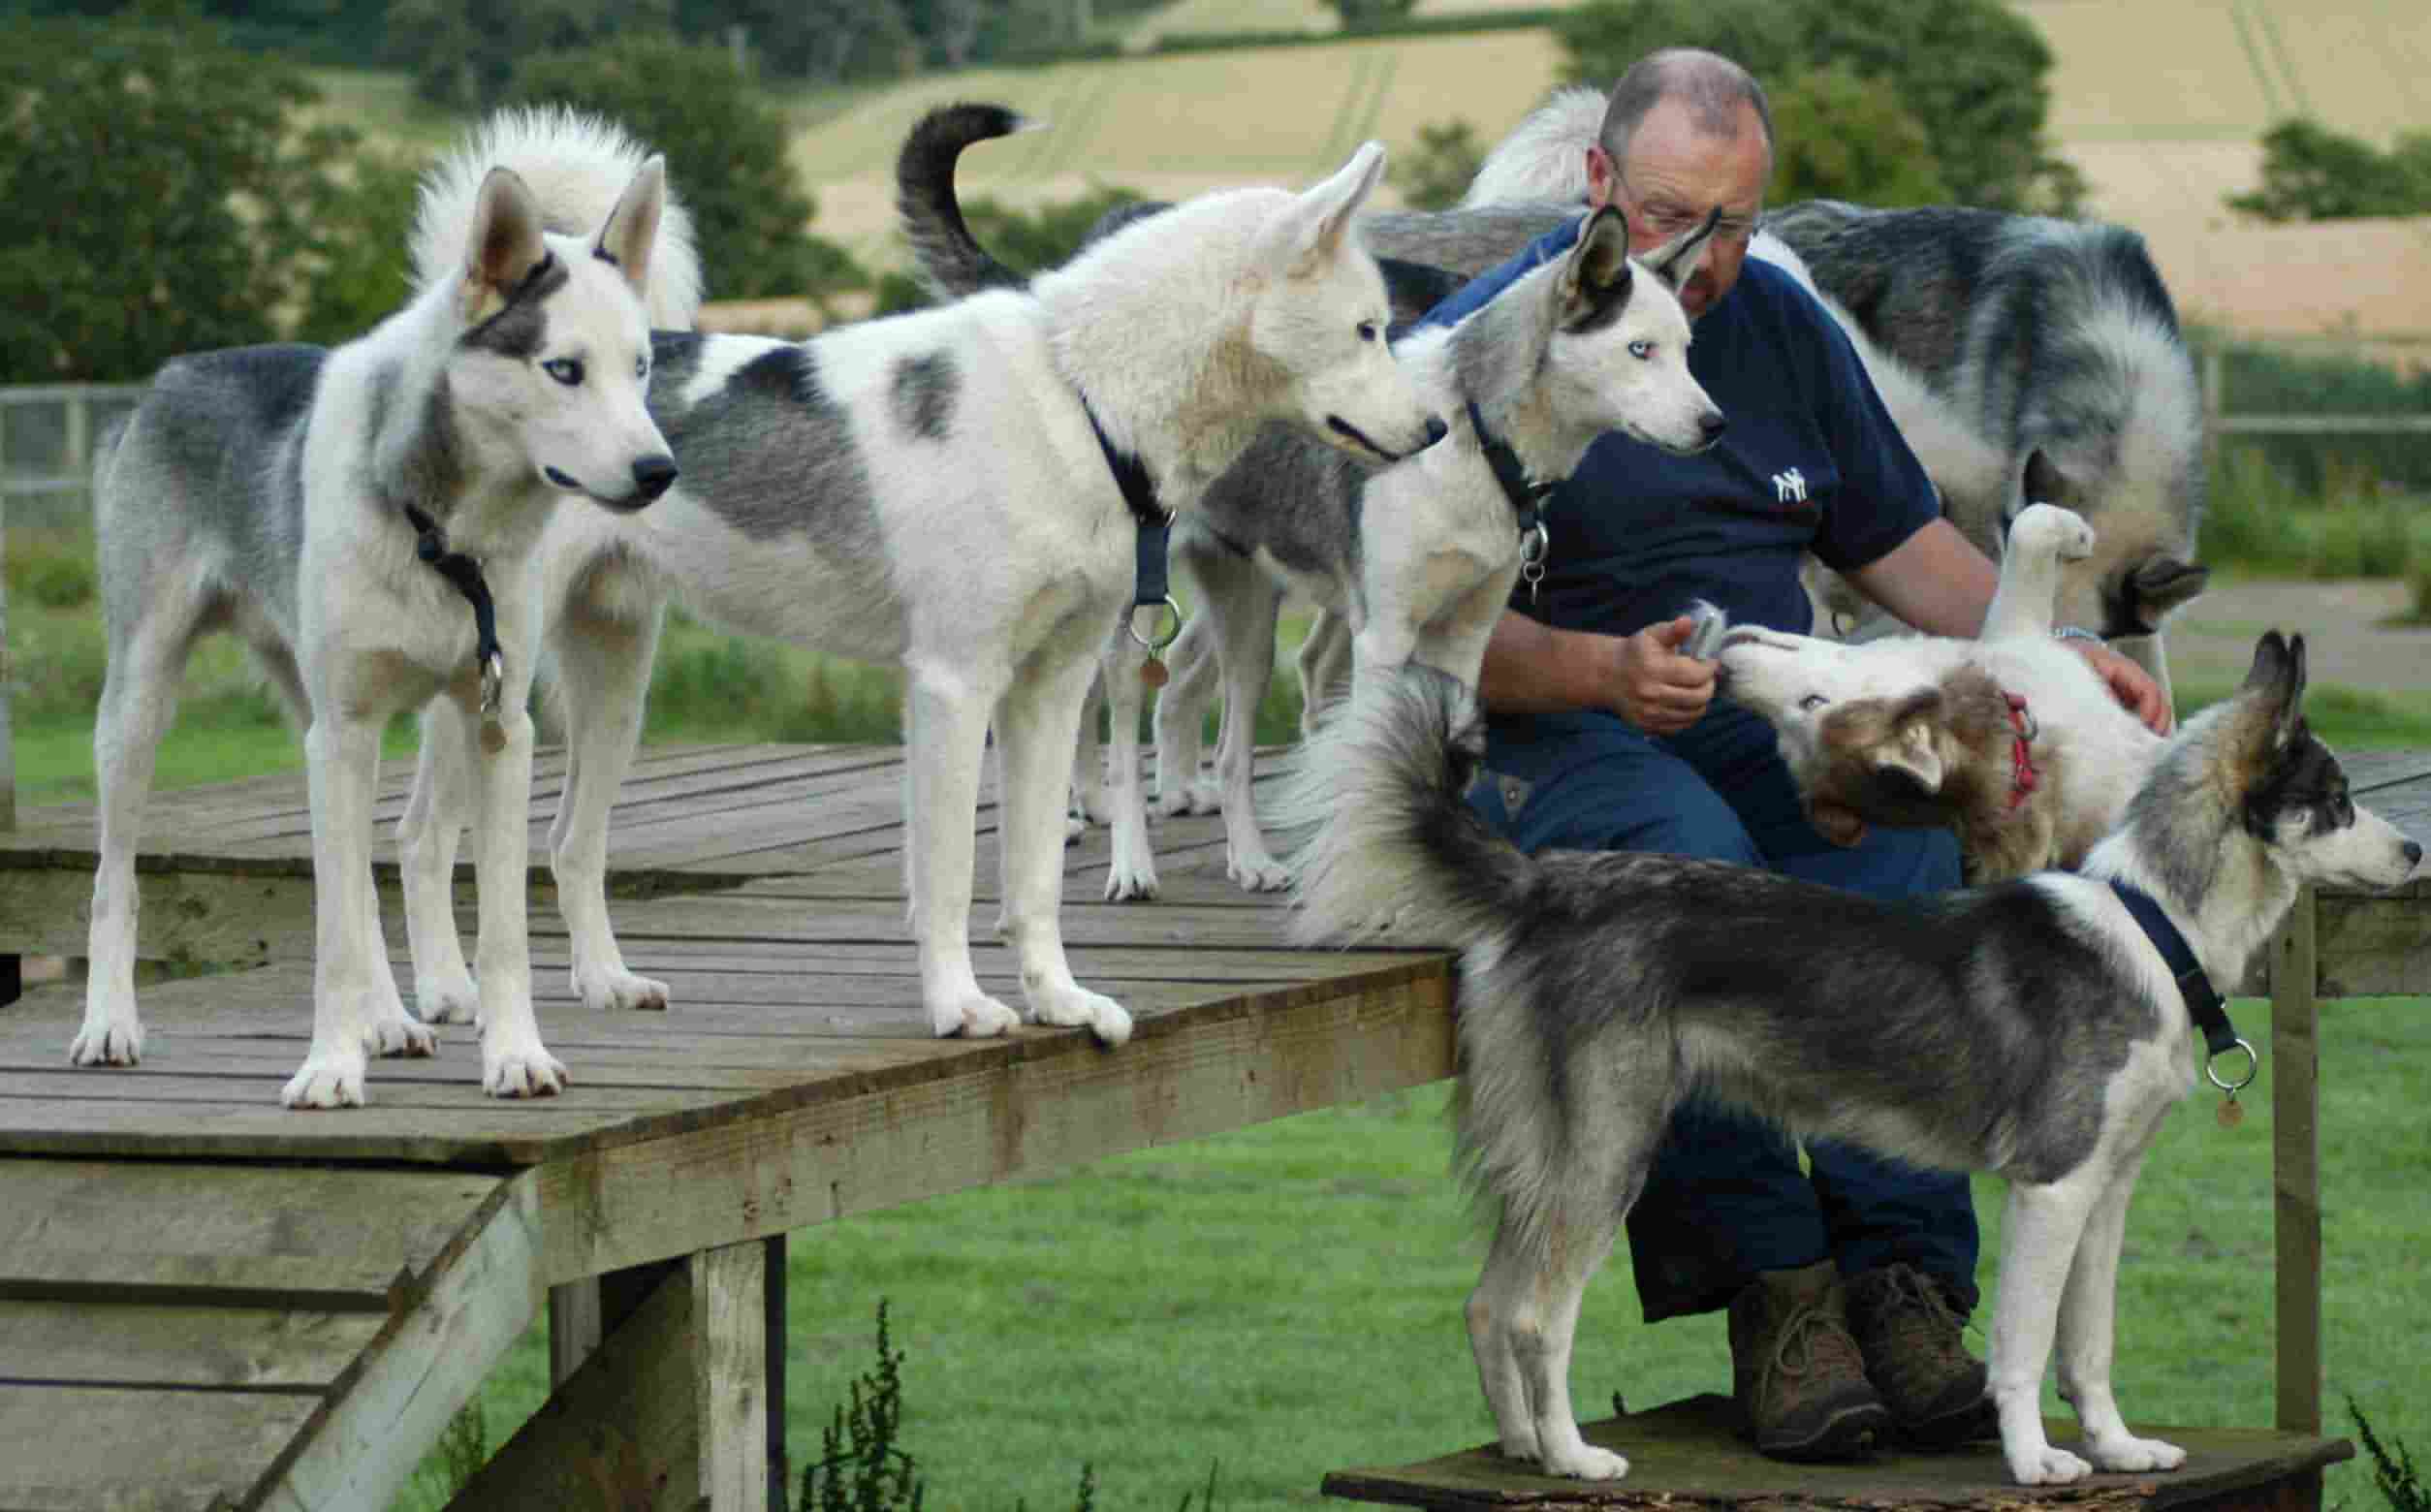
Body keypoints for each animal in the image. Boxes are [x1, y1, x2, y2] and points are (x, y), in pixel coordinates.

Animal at [76, 104, 700, 1103]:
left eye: (640, 367)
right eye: (564, 370)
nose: (658, 471)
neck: (445, 540)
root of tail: (173, 374)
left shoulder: (496, 729)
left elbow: (498, 932)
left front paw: (513, 1054)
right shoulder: (345, 731)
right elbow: (330, 936)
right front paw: (329, 1070)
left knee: (363, 886)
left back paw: (391, 1021)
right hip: (142, 707)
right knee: (116, 879)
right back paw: (109, 1024)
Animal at [403, 104, 1438, 1055]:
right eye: (1368, 329)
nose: (1434, 430)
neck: (1076, 396)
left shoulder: (1048, 690)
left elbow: (1032, 881)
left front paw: (1059, 1002)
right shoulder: (954, 686)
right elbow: (946, 883)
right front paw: (961, 1008)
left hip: (615, 687)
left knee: (569, 845)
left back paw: (607, 984)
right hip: (491, 698)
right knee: (424, 841)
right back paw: (447, 1000)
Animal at [1283, 632, 2420, 1487]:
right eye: (2338, 796)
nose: (2414, 852)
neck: (2150, 928)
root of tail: (1545, 883)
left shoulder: (2107, 1195)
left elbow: (2088, 1348)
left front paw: (2117, 1448)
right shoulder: (2051, 1190)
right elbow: (2023, 1350)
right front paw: (2037, 1463)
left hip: (1549, 1158)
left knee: (1486, 1302)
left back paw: (1520, 1447)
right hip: (1609, 1156)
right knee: (1532, 1315)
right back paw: (1573, 1458)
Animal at [1711, 510, 2168, 889]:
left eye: (1813, 702)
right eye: (1782, 737)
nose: (1725, 677)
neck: (2020, 739)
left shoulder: (2013, 636)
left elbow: (2028, 522)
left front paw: (2076, 536)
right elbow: (2029, 526)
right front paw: (2080, 535)